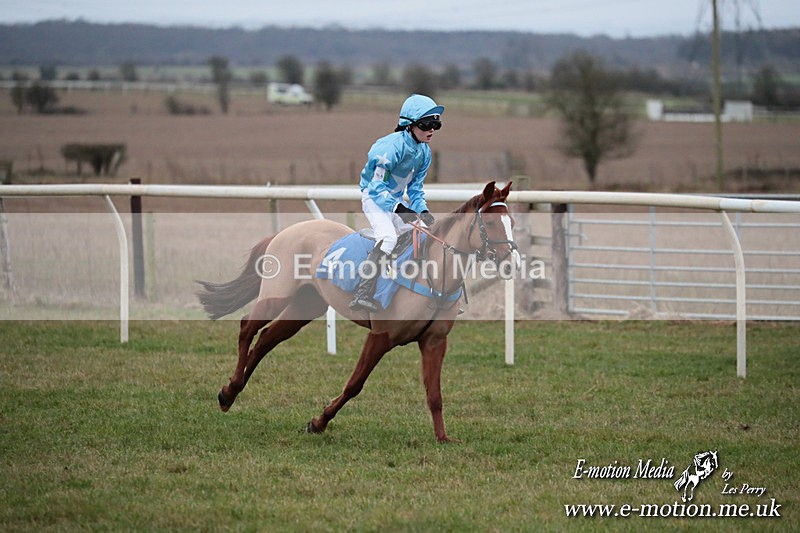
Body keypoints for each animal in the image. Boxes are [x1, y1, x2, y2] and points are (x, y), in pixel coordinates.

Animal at [196, 181, 518, 443]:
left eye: (511, 221)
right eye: (490, 224)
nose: (512, 263)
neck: (431, 275)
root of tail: (287, 230)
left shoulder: (434, 341)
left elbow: (434, 394)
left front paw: (442, 437)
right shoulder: (380, 336)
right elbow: (354, 384)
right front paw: (318, 422)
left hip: (305, 306)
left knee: (266, 339)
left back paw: (233, 390)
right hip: (277, 295)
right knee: (247, 326)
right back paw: (228, 392)